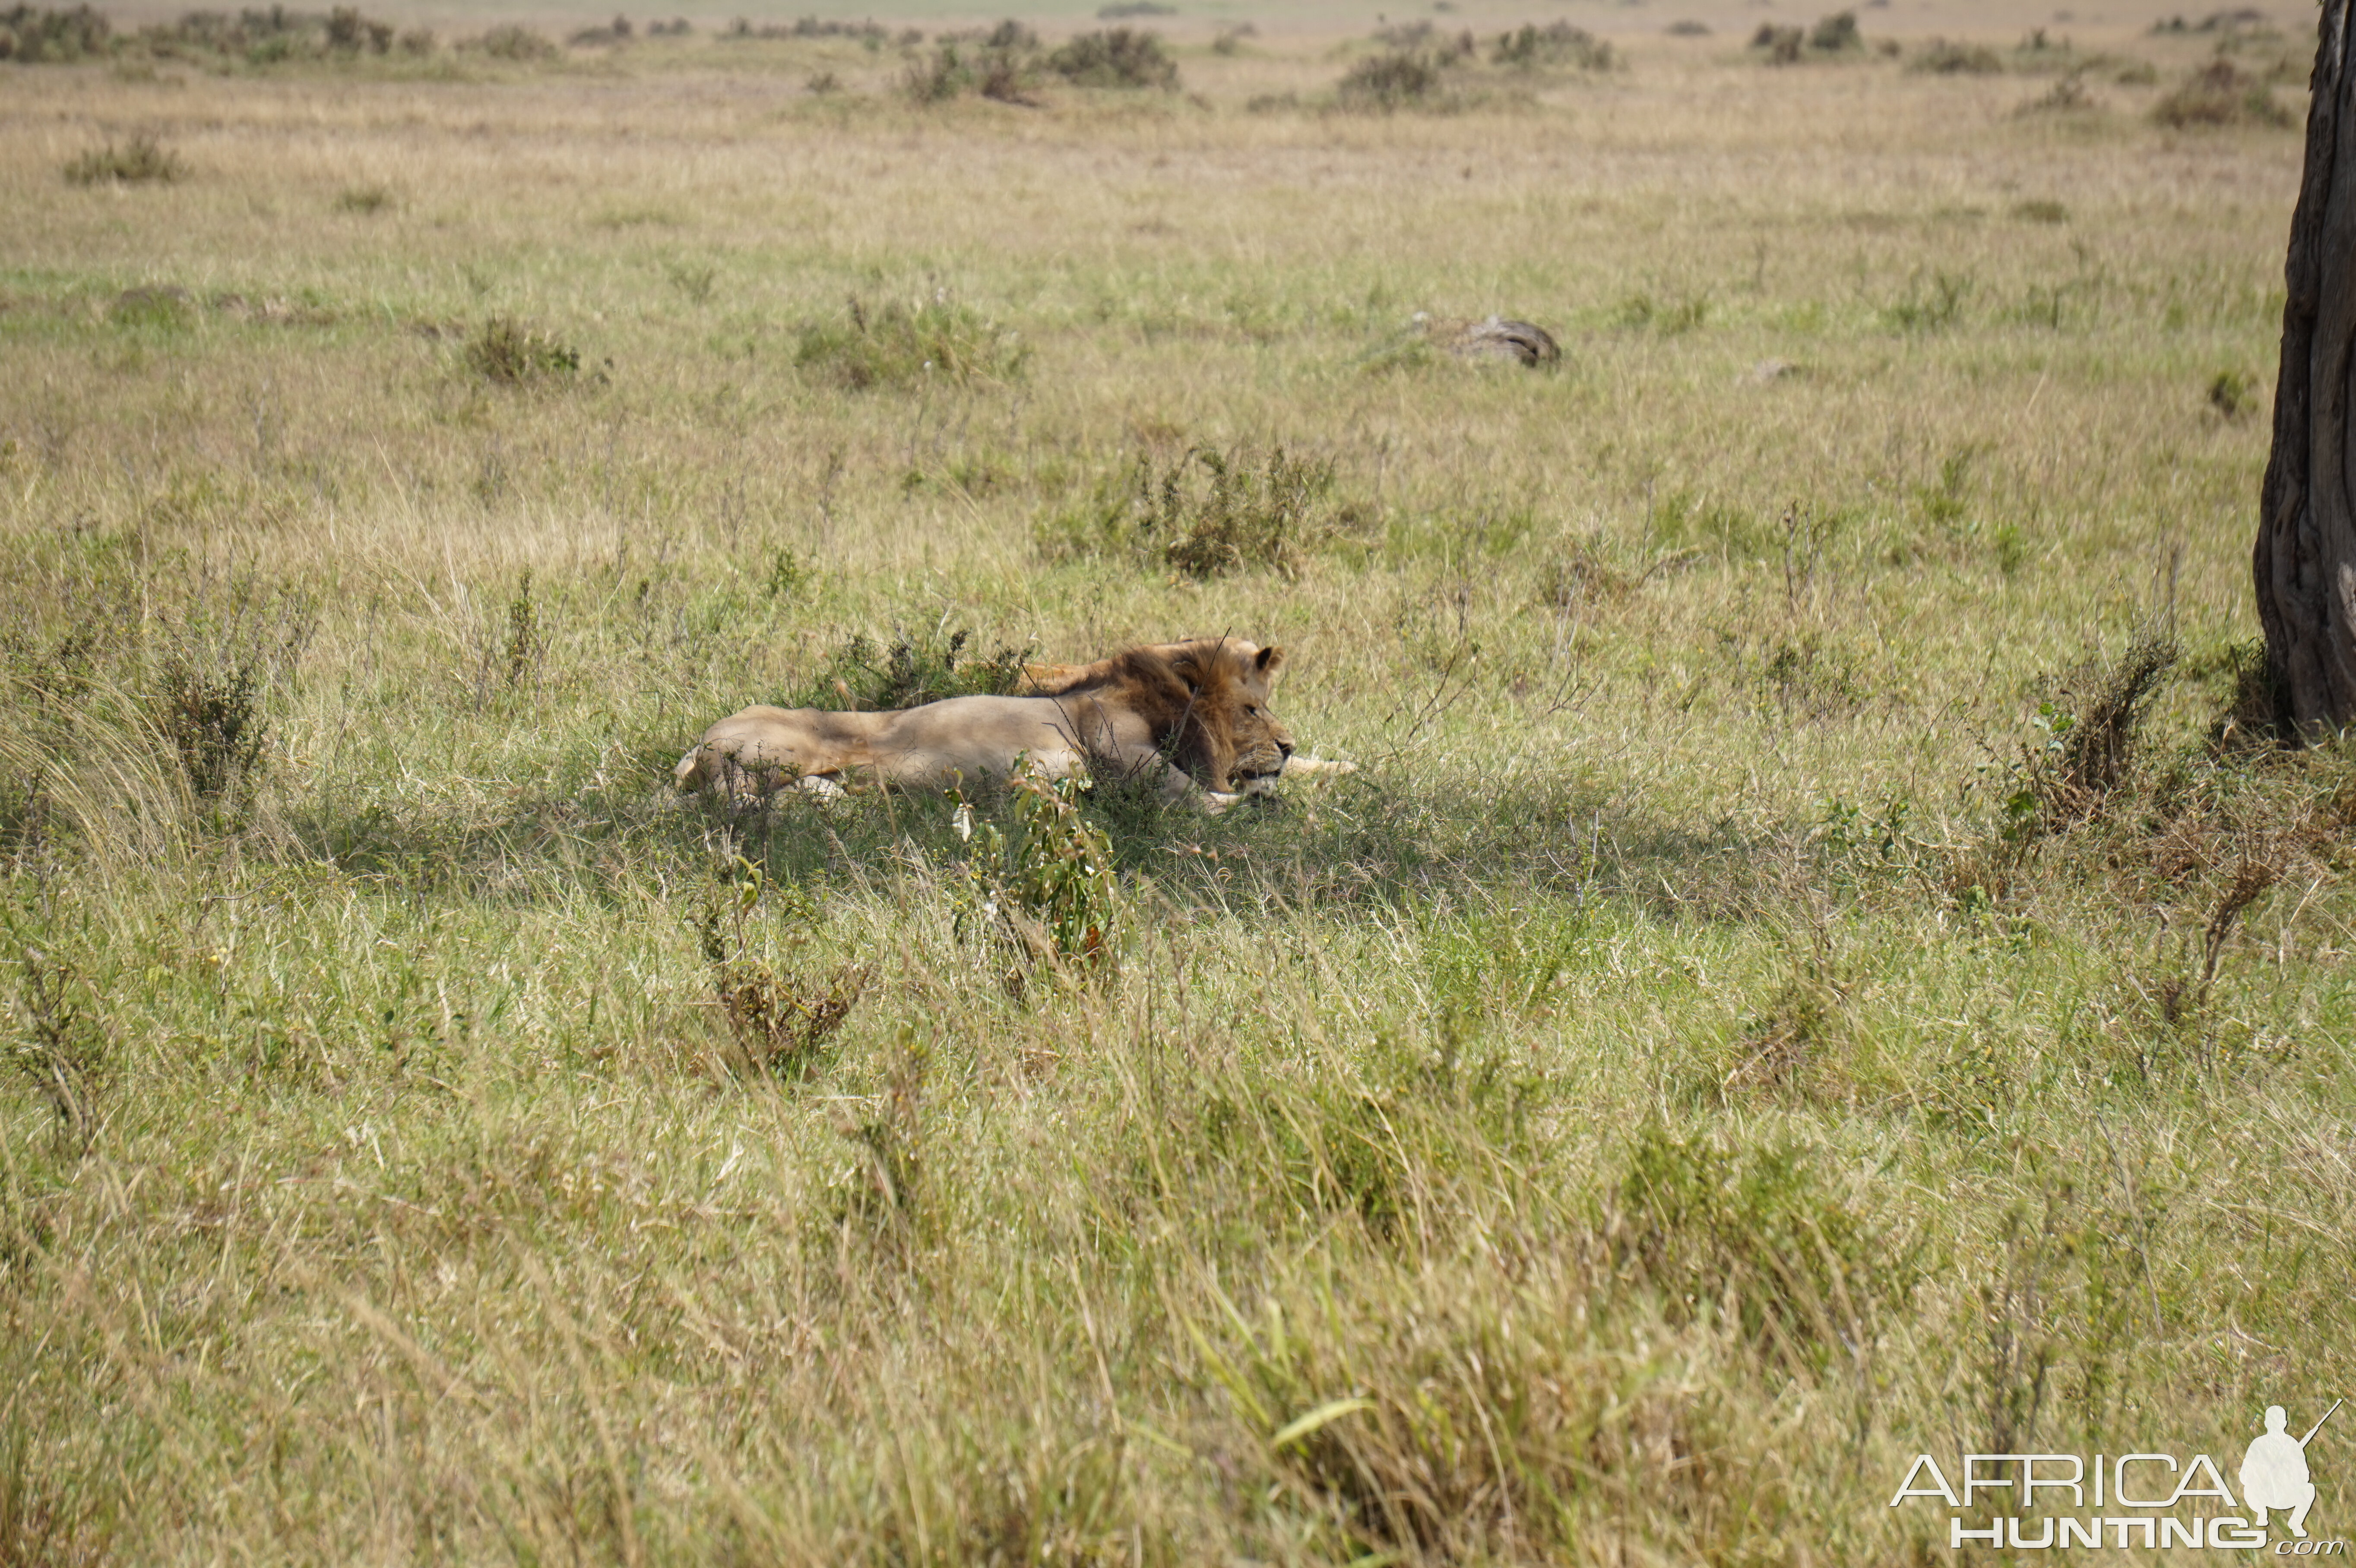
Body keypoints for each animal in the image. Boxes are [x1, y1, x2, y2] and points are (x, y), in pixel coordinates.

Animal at [678, 635, 1310, 805]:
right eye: (1252, 709)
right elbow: (1196, 797)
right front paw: (1252, 804)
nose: (1290, 746)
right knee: (729, 799)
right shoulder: (1121, 754)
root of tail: (702, 737)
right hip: (785, 752)